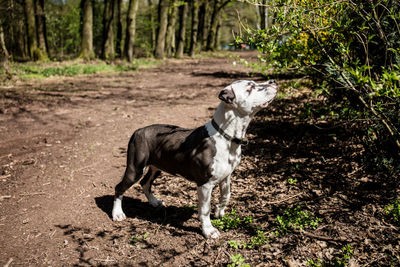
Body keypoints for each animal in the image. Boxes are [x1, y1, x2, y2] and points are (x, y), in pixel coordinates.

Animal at [111, 79, 276, 239]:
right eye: (250, 87)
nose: (273, 81)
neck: (225, 136)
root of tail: (138, 131)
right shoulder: (205, 184)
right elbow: (204, 209)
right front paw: (208, 231)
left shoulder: (226, 176)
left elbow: (226, 195)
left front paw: (219, 211)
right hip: (135, 168)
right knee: (119, 188)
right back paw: (117, 214)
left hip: (156, 167)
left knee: (145, 183)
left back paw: (154, 202)